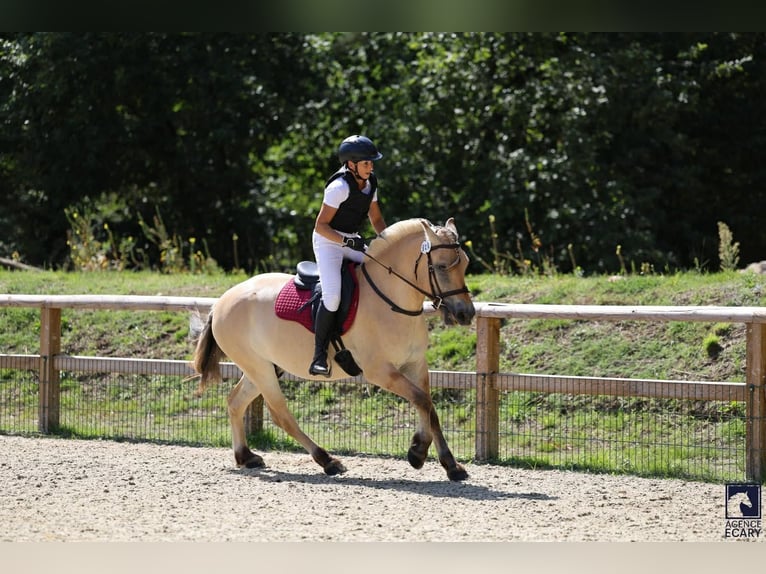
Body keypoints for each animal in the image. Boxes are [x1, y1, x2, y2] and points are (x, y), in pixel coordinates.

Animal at [191, 217, 476, 481]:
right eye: (441, 267)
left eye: (465, 263)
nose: (466, 314)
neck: (391, 301)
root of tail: (221, 302)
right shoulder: (380, 372)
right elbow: (422, 401)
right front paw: (417, 452)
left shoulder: (415, 364)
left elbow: (429, 407)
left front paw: (451, 466)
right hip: (259, 368)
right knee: (281, 414)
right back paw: (327, 460)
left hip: (265, 367)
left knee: (235, 402)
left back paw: (246, 456)